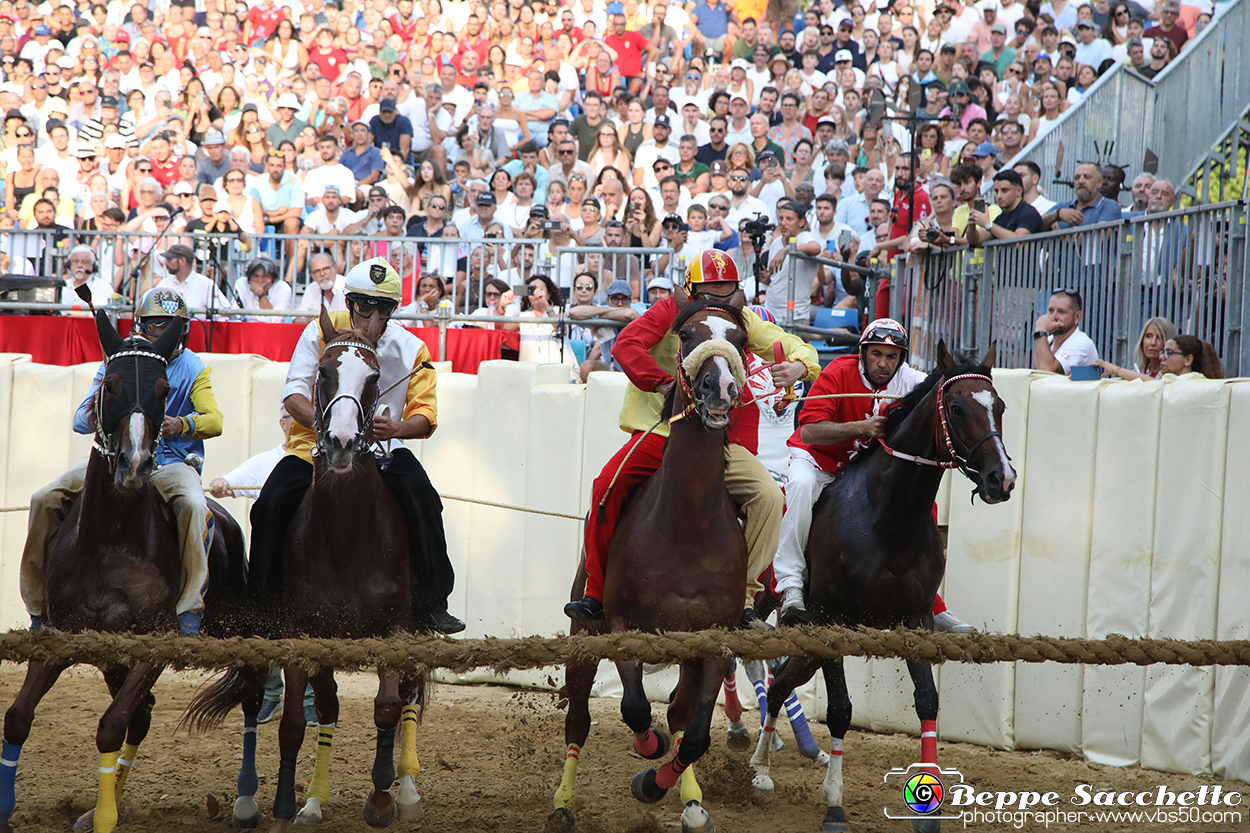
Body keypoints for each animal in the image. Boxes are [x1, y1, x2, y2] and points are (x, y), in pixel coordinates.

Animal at [550, 298, 750, 830]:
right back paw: (562, 803)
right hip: (585, 632)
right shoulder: (622, 625)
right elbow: (636, 708)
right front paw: (649, 749)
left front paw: (659, 784)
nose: (720, 388)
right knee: (578, 720)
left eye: (740, 340)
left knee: (681, 717)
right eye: (688, 335)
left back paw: (691, 801)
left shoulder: (714, 638)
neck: (687, 527)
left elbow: (695, 734)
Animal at [745, 340, 1010, 830]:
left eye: (999, 406)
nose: (1001, 479)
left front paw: (928, 809)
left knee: (780, 684)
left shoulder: (915, 619)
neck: (886, 517)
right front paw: (834, 803)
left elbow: (927, 702)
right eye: (958, 407)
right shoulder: (831, 620)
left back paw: (761, 767)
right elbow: (840, 710)